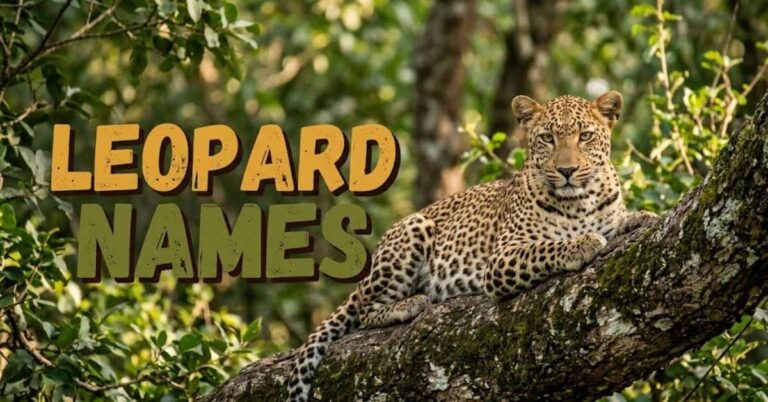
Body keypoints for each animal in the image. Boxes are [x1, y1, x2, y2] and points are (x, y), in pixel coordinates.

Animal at [285, 90, 659, 401]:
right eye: (547, 138)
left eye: (585, 136)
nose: (567, 170)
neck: (579, 201)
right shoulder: (504, 256)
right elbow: (547, 247)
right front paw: (581, 244)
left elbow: (617, 221)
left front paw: (641, 217)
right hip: (413, 230)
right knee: (365, 311)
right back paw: (410, 303)